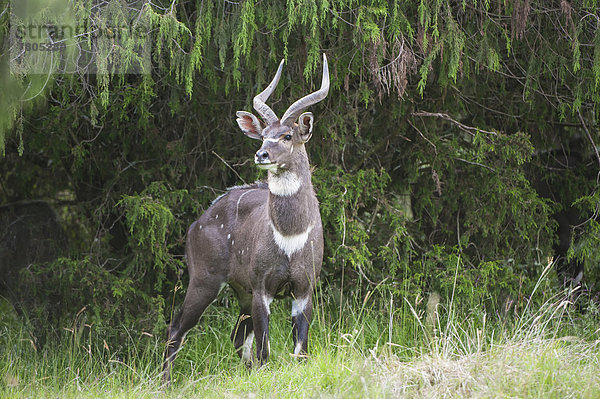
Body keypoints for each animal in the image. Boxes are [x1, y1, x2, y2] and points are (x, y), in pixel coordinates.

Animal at [163, 54, 328, 382]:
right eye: (263, 135)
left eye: (287, 135)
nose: (261, 154)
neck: (290, 235)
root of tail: (195, 225)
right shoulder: (262, 287)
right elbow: (266, 351)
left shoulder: (304, 287)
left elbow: (300, 351)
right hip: (204, 280)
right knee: (176, 330)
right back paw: (162, 384)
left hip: (240, 292)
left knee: (237, 336)